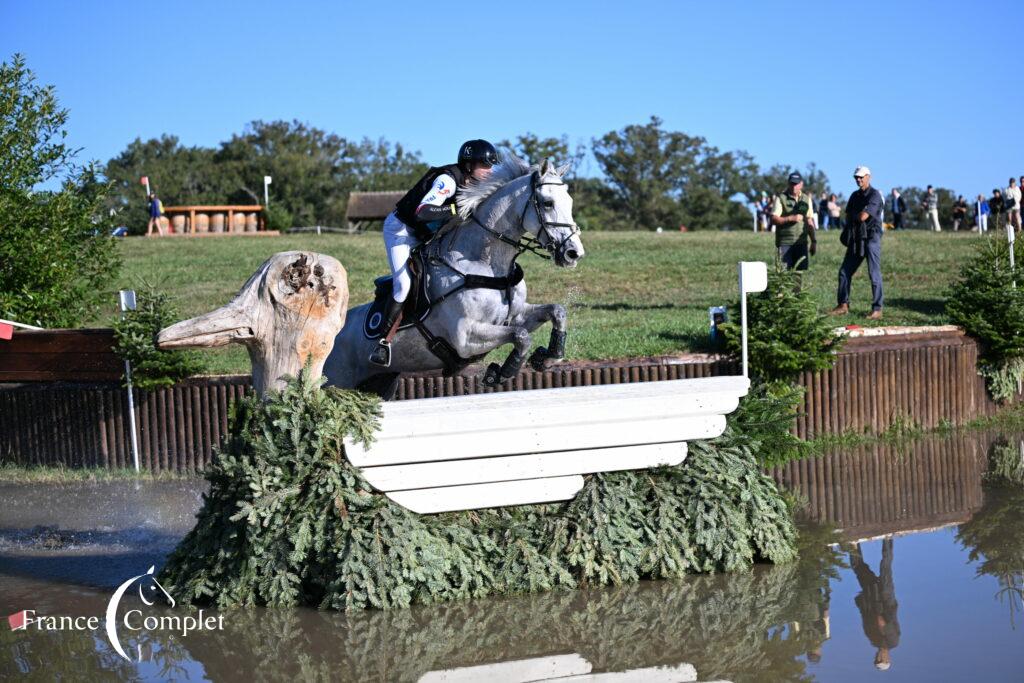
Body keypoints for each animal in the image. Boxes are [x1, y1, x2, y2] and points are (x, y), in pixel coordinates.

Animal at [327, 155, 585, 397]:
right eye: (548, 203)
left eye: (570, 201)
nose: (573, 253)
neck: (483, 263)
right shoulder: (465, 337)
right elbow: (521, 336)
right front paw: (502, 373)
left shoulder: (516, 315)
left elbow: (556, 311)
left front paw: (548, 357)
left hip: (381, 384)